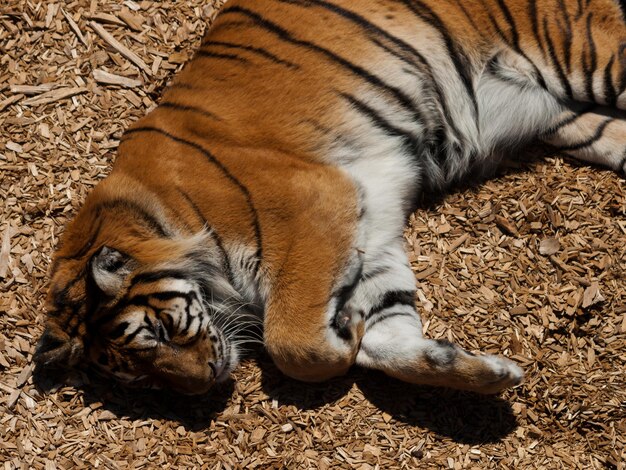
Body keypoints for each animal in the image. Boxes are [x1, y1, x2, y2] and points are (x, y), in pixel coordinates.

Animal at [33, 0, 624, 396]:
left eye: (157, 334)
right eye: (140, 378)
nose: (205, 382)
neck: (161, 222)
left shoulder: (315, 204)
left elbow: (292, 341)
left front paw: (341, 340)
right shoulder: (372, 235)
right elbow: (390, 330)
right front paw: (474, 371)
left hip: (592, 55)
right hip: (570, 119)